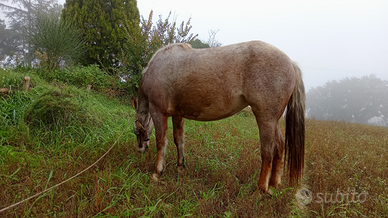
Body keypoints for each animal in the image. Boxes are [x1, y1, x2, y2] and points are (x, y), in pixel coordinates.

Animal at [133, 40, 306, 193]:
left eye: (137, 132)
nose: (140, 150)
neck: (157, 67)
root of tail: (290, 63)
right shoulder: (177, 115)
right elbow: (179, 140)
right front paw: (180, 167)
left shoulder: (158, 112)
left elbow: (161, 142)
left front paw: (157, 173)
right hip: (273, 121)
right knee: (280, 147)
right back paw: (274, 185)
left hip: (265, 119)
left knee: (268, 151)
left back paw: (261, 189)